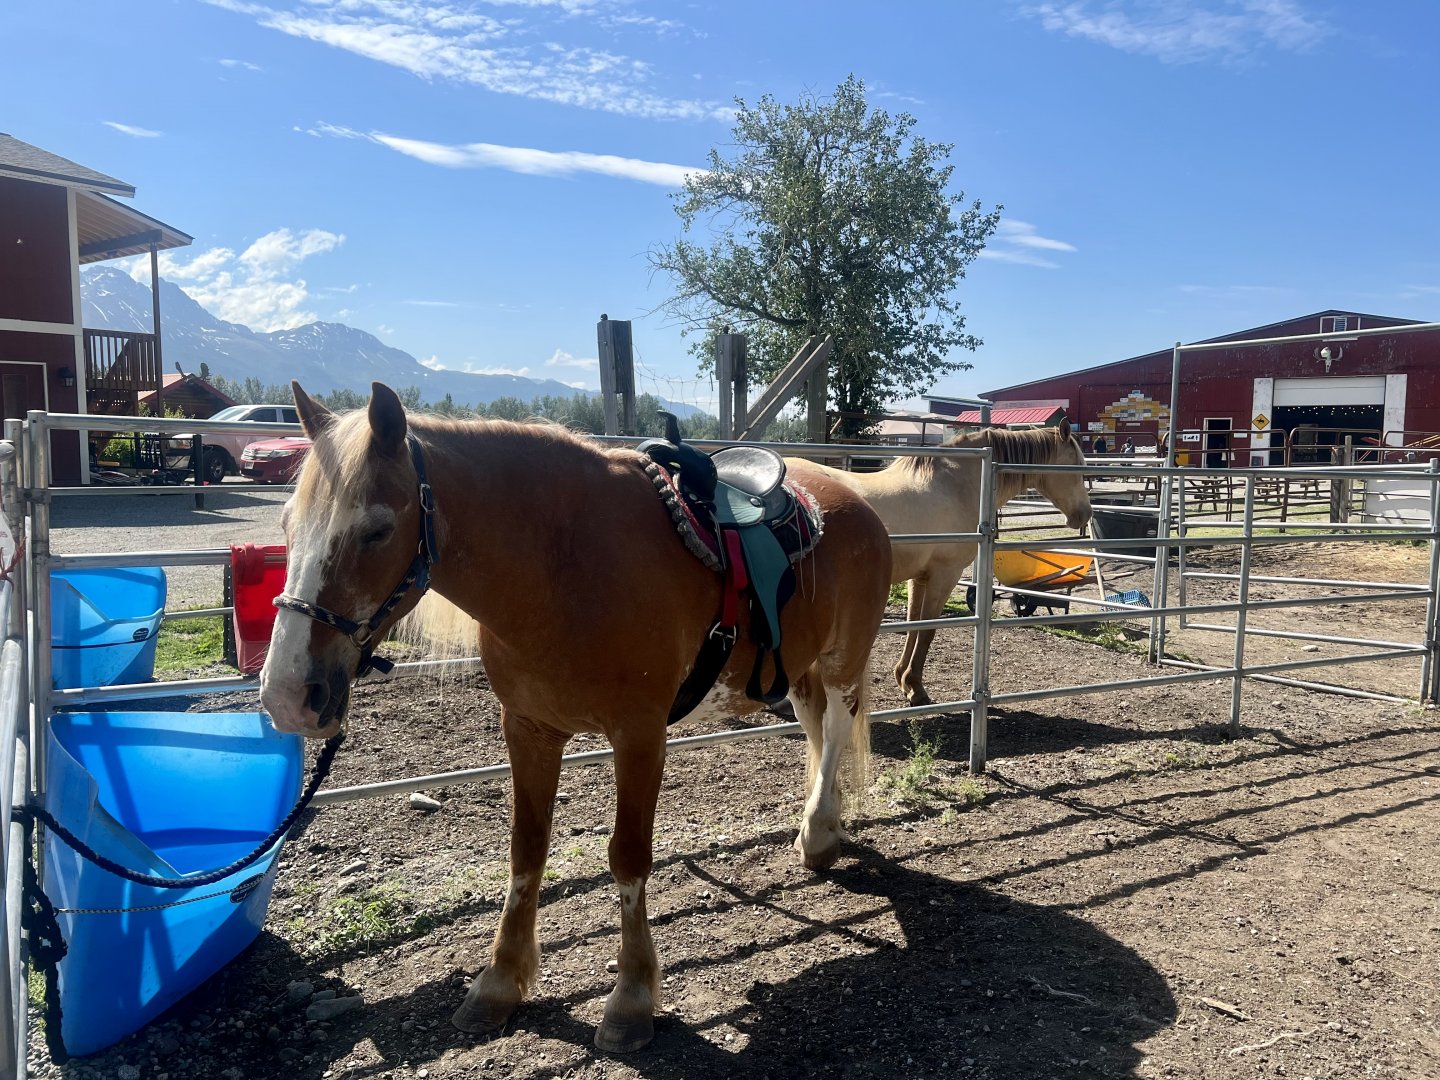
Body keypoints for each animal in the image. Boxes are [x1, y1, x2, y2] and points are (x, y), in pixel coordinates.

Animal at [259, 382, 893, 1054]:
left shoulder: (639, 735)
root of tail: (854, 498)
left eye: (377, 530)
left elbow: (628, 856)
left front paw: (631, 998)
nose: (287, 694)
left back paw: (820, 831)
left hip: (843, 660)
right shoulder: (528, 728)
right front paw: (499, 982)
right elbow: (526, 849)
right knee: (817, 731)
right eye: (288, 524)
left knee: (838, 729)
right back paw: (819, 828)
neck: (562, 569)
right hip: (793, 669)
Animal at [807, 421, 1091, 707]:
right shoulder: (945, 574)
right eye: (1077, 466)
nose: (1085, 515)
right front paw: (916, 688)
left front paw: (902, 679)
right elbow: (928, 629)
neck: (959, 483)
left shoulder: (919, 576)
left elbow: (913, 624)